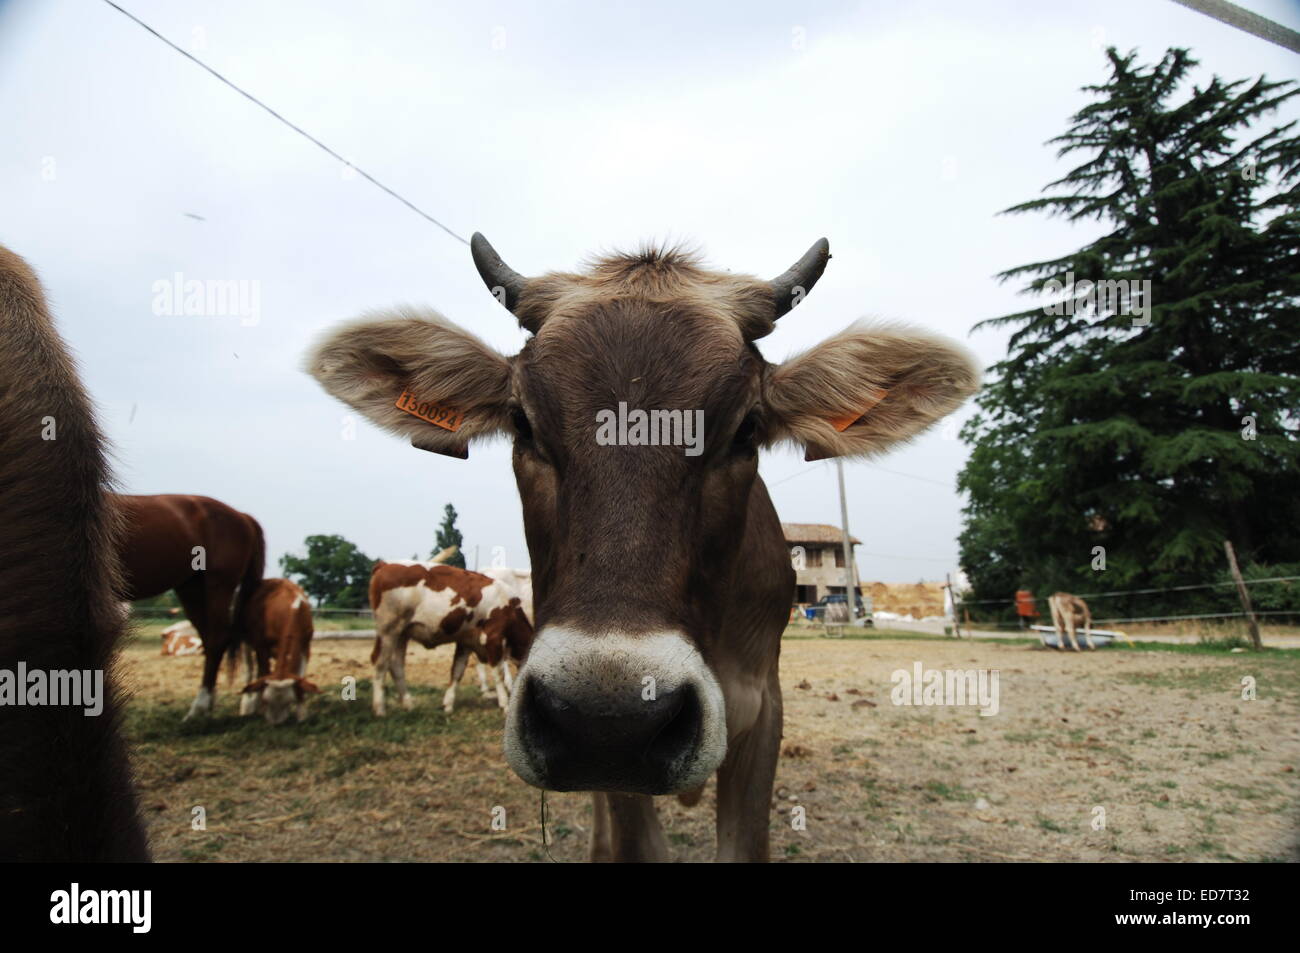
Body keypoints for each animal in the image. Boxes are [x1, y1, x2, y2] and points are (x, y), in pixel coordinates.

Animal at [238, 578, 319, 724]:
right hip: (245, 642)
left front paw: (302, 714)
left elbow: (301, 678)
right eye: (267, 700)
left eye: (288, 702)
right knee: (249, 671)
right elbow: (263, 673)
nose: (276, 723)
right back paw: (246, 707)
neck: (293, 609)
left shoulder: (305, 647)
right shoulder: (261, 646)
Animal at [367, 561, 533, 716]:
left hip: (402, 634)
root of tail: (386, 564)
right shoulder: (493, 638)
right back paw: (380, 708)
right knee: (380, 663)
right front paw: (505, 704)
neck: (510, 609)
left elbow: (457, 671)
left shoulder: (465, 642)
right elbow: (498, 673)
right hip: (388, 630)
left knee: (396, 665)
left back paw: (408, 704)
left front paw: (448, 704)